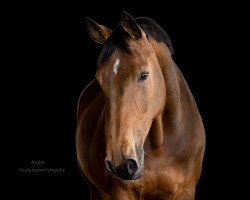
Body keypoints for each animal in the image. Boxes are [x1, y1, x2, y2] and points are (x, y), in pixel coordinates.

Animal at [76, 12, 205, 200]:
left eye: (144, 75)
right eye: (100, 81)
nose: (121, 165)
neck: (161, 148)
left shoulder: (185, 191)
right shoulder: (121, 193)